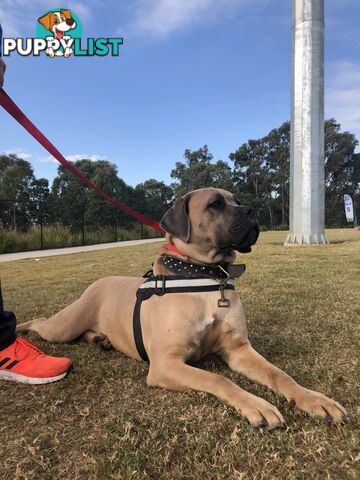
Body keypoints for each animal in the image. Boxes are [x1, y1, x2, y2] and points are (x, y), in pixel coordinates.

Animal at [16, 188, 346, 432]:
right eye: (215, 204)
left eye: (238, 201)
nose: (253, 210)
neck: (205, 275)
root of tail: (101, 279)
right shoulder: (166, 364)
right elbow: (218, 379)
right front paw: (257, 405)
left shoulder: (239, 350)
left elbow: (280, 375)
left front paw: (314, 399)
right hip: (63, 326)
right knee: (41, 321)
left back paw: (100, 339)